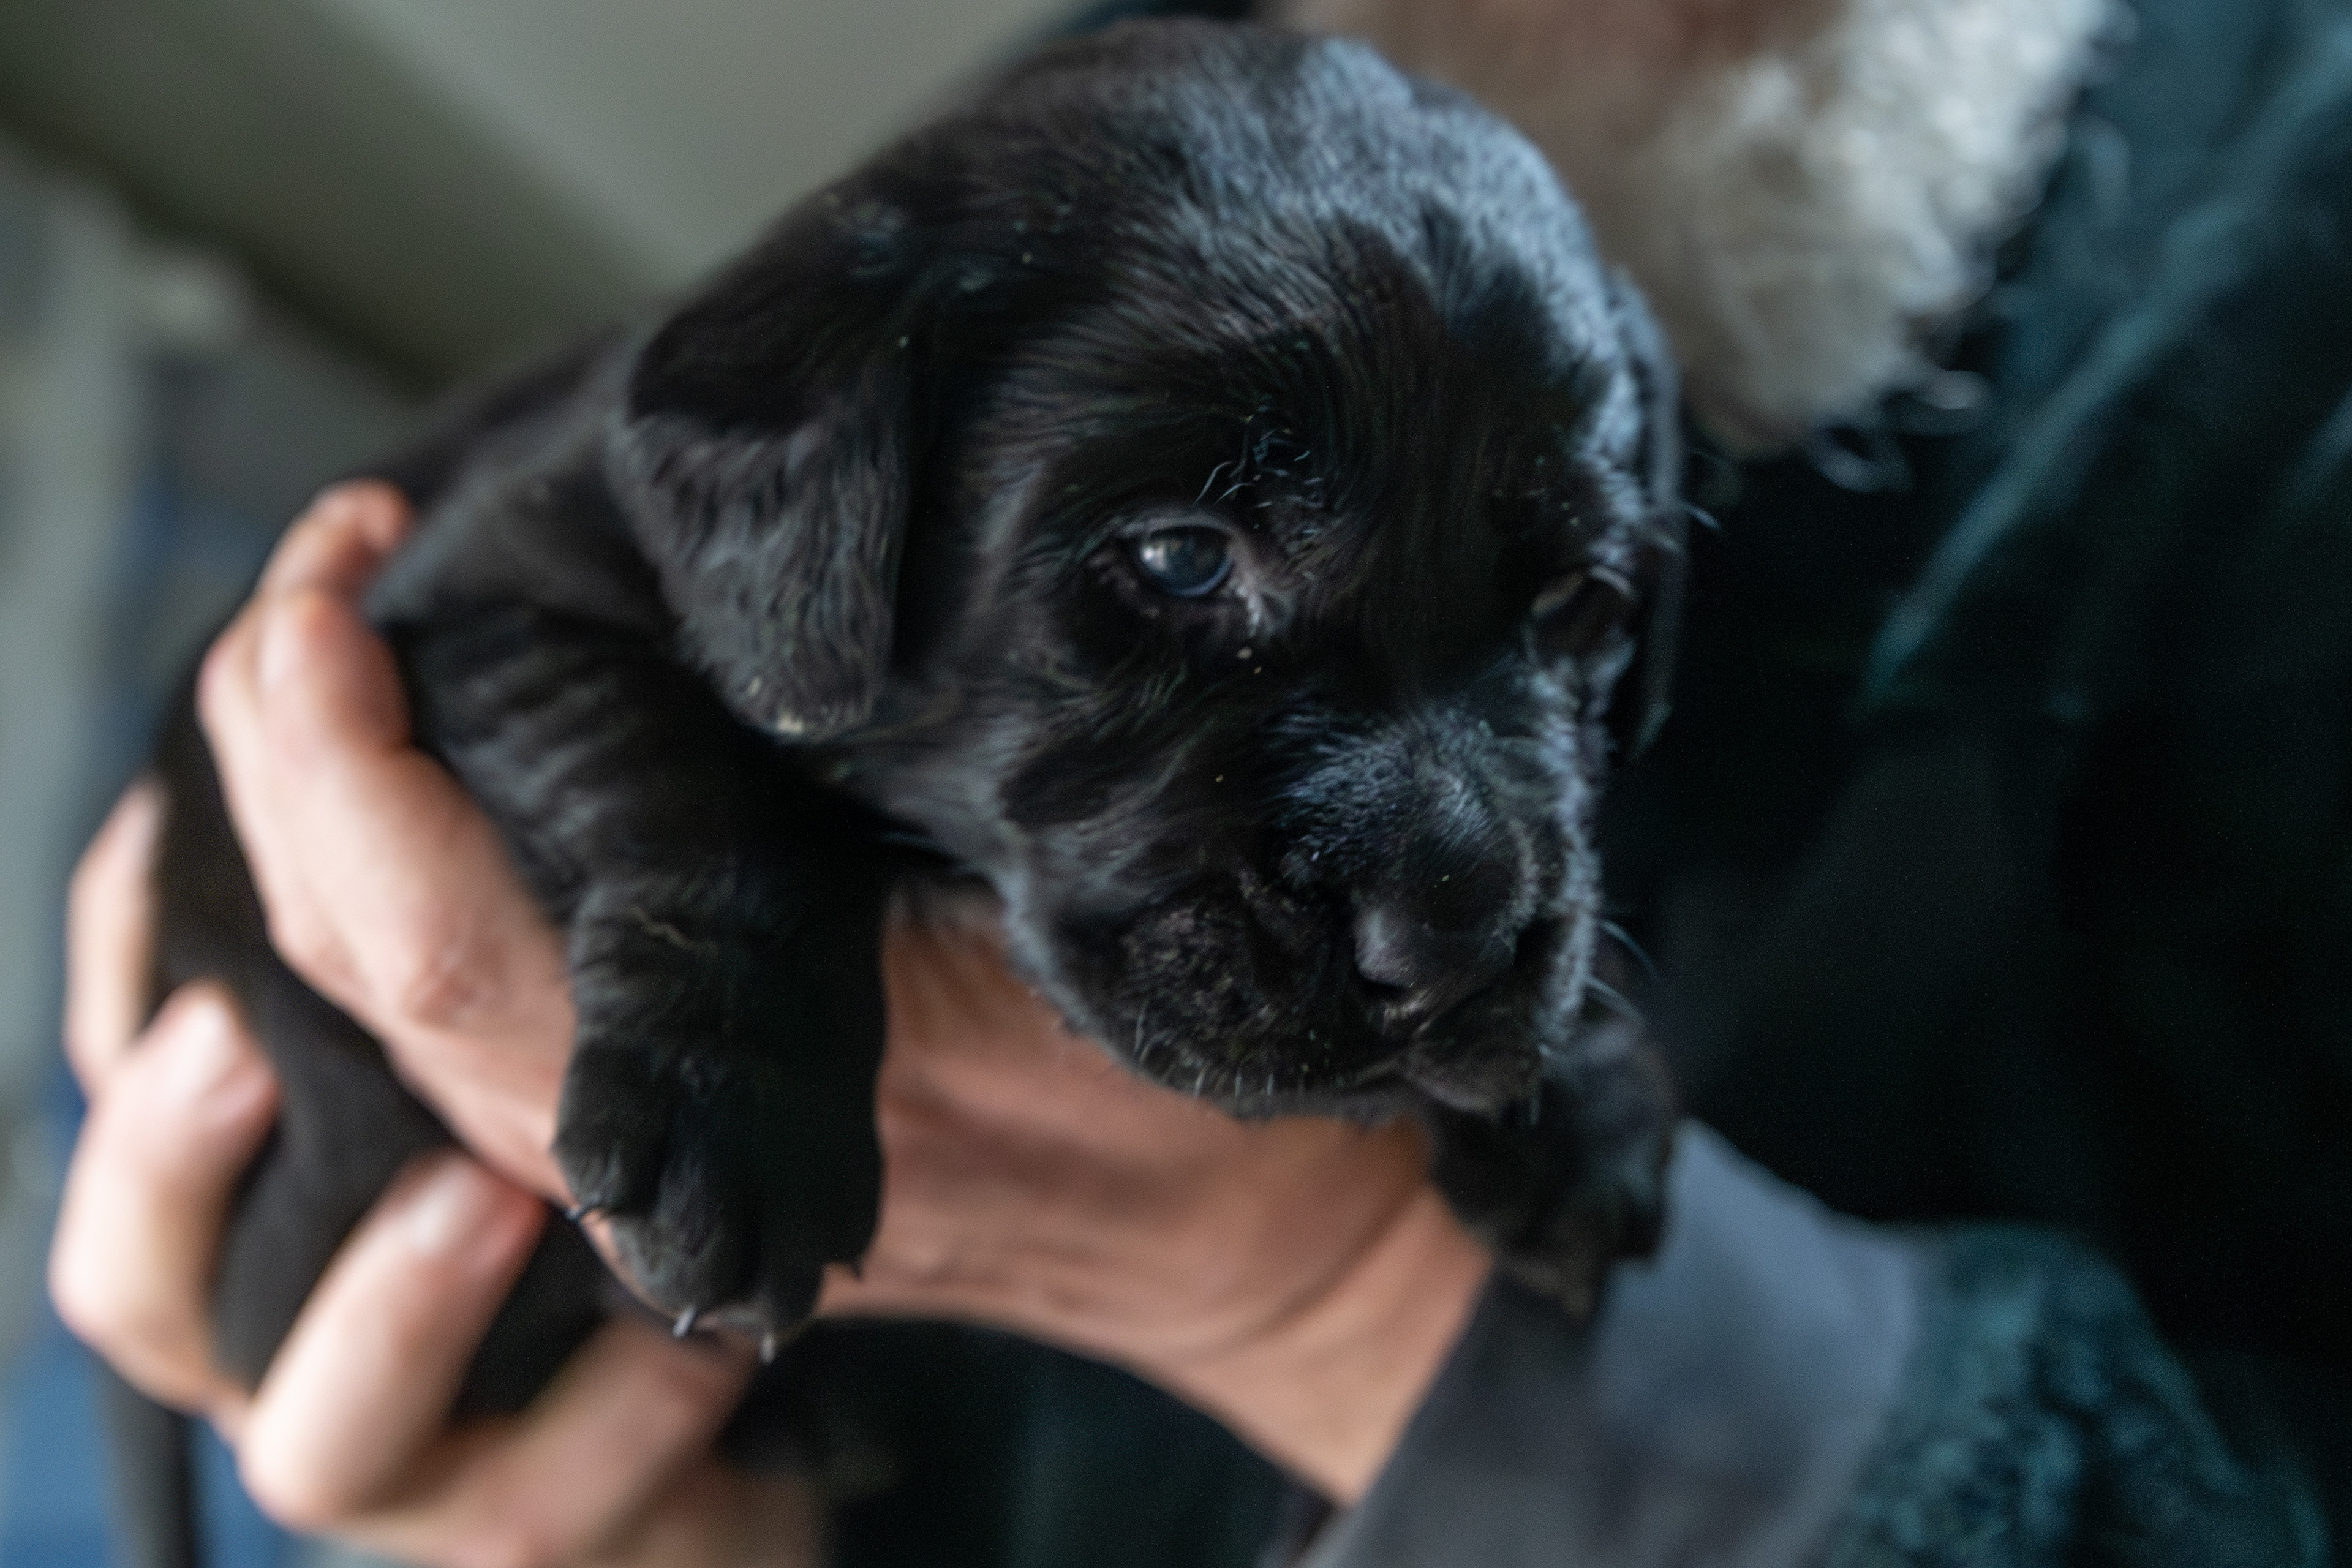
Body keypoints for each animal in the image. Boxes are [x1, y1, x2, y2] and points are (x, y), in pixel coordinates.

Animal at [140, 15, 1683, 1500]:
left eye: (1580, 605)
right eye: (1182, 557)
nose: (1446, 943)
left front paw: (1583, 1096)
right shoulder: (474, 605)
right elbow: (698, 787)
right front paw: (733, 1119)